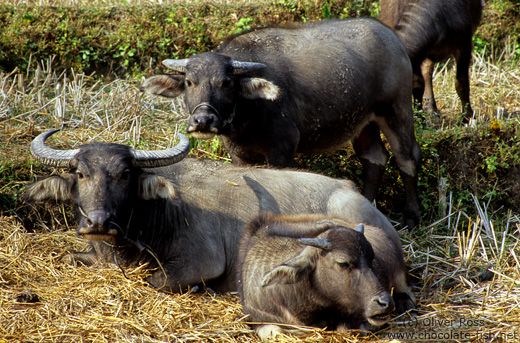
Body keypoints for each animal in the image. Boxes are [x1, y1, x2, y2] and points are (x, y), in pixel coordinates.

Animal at [23, 130, 398, 294]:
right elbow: (69, 257)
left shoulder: (202, 263)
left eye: (125, 173)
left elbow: (155, 281)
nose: (98, 222)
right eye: (80, 174)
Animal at [142, 16, 422, 231]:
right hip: (363, 123)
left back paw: (411, 217)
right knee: (374, 157)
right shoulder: (239, 155)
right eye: (190, 82)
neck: (247, 116)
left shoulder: (283, 148)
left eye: (226, 83)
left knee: (406, 157)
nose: (202, 120)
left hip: (396, 110)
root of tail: (393, 39)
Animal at [239, 214, 414, 340]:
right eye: (343, 263)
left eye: (372, 258)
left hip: (398, 273)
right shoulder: (259, 318)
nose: (385, 303)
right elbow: (273, 333)